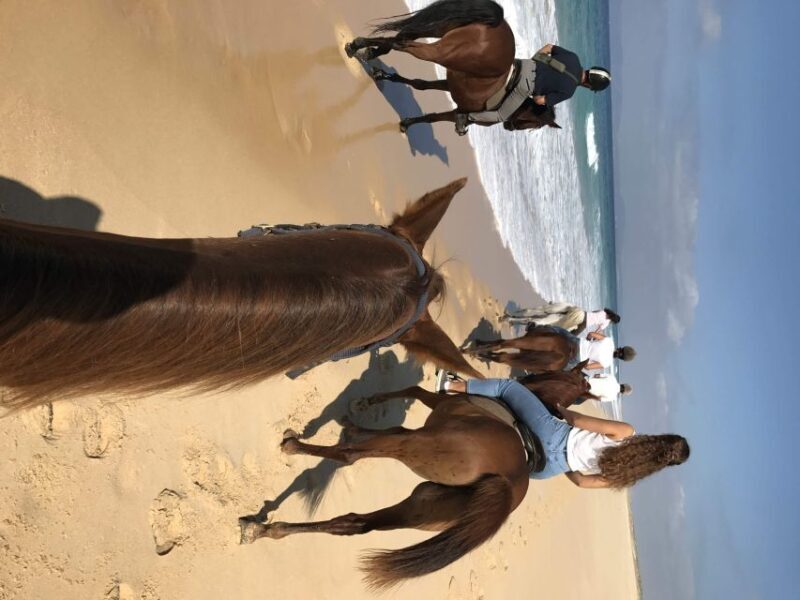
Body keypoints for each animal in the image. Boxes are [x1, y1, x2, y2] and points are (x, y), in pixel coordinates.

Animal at [239, 386, 530, 589]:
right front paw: (355, 418)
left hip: (412, 449)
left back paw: (292, 447)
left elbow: (412, 394)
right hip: (422, 505)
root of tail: (509, 484)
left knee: (349, 457)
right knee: (355, 523)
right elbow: (407, 401)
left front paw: (359, 410)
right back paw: (261, 529)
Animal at [346, 0, 561, 133]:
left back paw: (366, 51)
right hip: (439, 52)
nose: (510, 127)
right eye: (534, 124)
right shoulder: (458, 113)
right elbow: (433, 118)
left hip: (437, 29)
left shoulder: (451, 84)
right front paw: (407, 123)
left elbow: (420, 84)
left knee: (402, 37)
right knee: (402, 43)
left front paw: (384, 75)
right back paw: (356, 46)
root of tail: (497, 21)